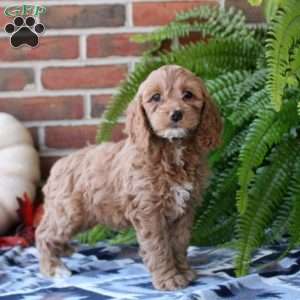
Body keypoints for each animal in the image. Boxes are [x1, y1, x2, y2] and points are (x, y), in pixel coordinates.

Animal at [35, 65, 223, 290]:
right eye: (156, 97)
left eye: (188, 95)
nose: (176, 114)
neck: (172, 148)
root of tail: (60, 164)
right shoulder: (149, 211)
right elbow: (159, 247)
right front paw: (169, 279)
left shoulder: (185, 210)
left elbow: (179, 242)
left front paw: (184, 272)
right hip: (68, 213)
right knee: (43, 233)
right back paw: (54, 269)